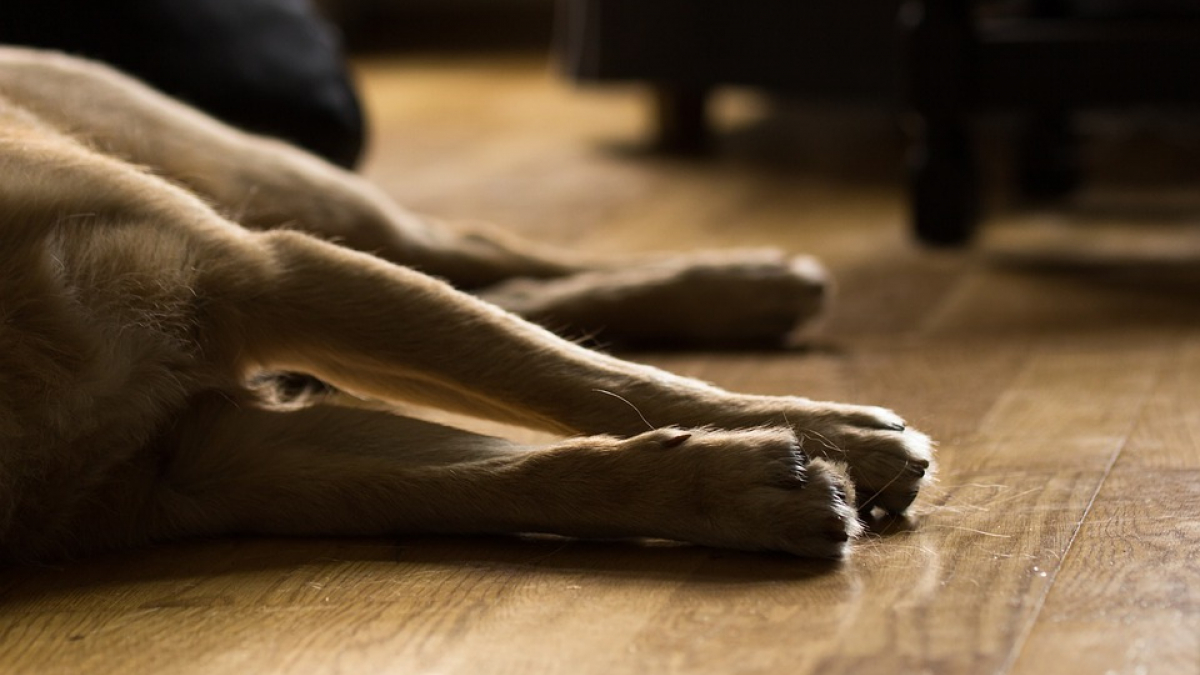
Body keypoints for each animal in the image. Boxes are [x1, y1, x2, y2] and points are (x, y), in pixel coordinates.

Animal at [0, 47, 936, 559]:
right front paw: (739, 487)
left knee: (482, 255)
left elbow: (583, 382)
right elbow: (508, 477)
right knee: (502, 289)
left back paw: (754, 285)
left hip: (278, 184)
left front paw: (840, 433)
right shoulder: (208, 463)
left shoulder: (259, 274)